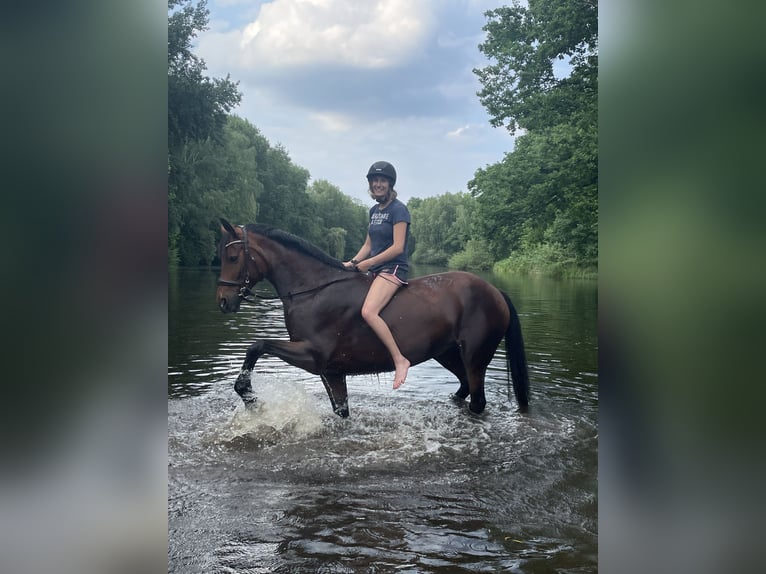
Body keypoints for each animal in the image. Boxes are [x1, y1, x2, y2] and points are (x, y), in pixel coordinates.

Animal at [213, 219, 532, 418]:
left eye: (232, 258)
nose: (223, 301)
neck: (314, 290)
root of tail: (494, 291)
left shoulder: (311, 355)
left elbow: (257, 346)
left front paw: (249, 395)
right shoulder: (331, 371)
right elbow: (341, 412)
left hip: (475, 355)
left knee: (477, 401)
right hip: (448, 353)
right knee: (464, 389)